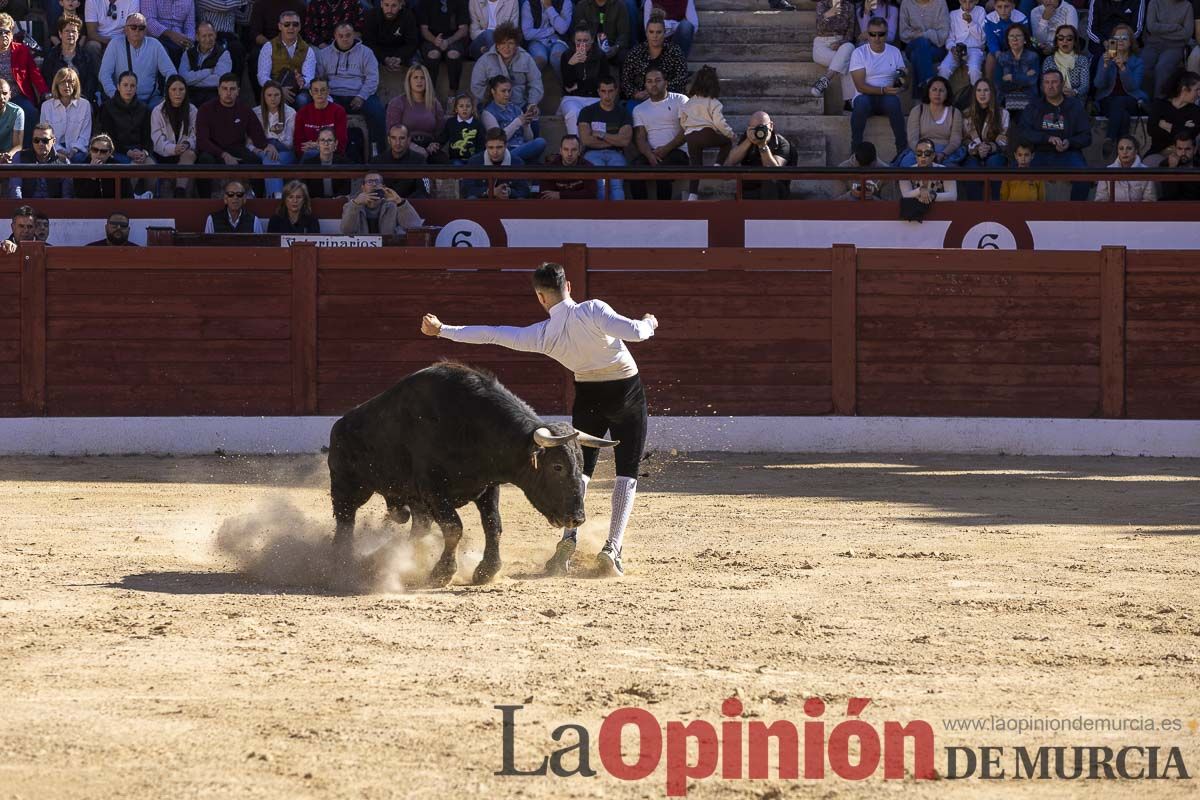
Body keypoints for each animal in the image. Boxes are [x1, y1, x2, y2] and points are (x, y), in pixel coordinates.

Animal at [326, 362, 619, 587]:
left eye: (581, 465)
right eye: (557, 467)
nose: (577, 518)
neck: (471, 425)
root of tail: (339, 425)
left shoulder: (487, 488)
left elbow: (493, 526)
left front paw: (486, 571)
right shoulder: (434, 490)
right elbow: (454, 527)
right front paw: (441, 574)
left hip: (412, 501)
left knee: (419, 526)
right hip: (348, 486)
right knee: (345, 521)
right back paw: (342, 564)